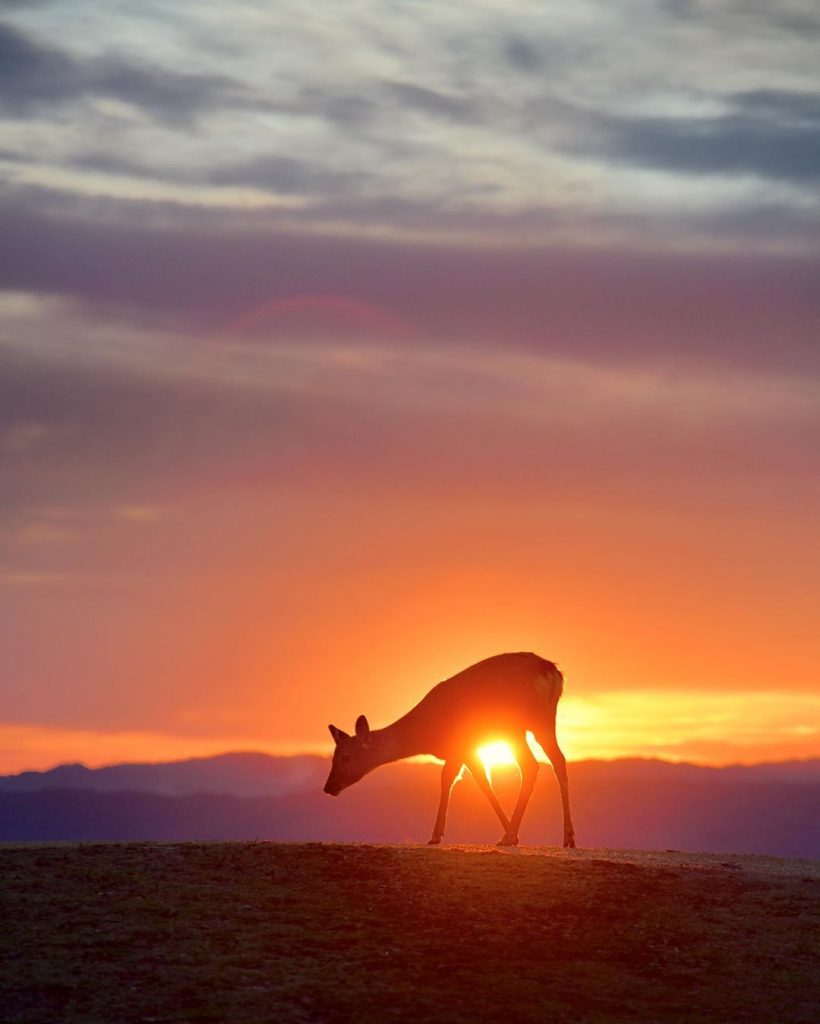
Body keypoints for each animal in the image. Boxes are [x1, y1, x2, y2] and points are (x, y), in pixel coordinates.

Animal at [323, 655, 573, 847]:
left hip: (515, 727)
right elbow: (480, 782)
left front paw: (435, 836)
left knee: (532, 765)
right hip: (543, 721)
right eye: (332, 758)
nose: (328, 787)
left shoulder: (459, 746)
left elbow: (452, 780)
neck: (427, 735)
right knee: (558, 760)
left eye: (346, 757)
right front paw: (514, 834)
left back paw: (509, 836)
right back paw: (567, 837)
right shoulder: (467, 750)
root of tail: (553, 671)